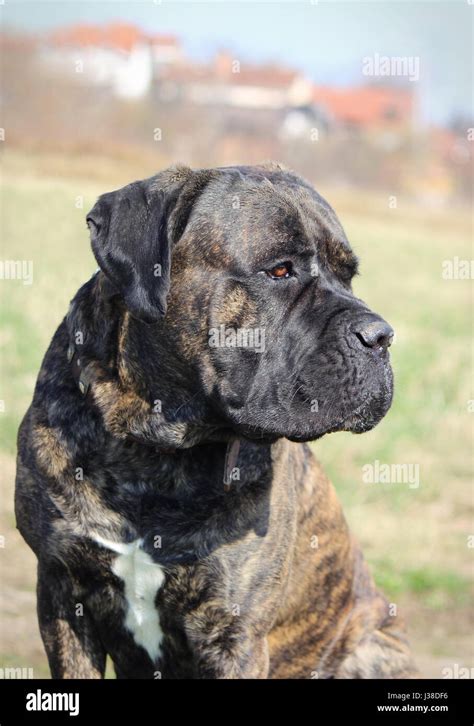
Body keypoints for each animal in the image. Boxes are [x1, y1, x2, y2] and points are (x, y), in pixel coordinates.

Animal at [15, 162, 418, 680]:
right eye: (280, 270)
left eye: (348, 276)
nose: (380, 336)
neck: (155, 451)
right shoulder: (62, 594)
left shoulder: (234, 633)